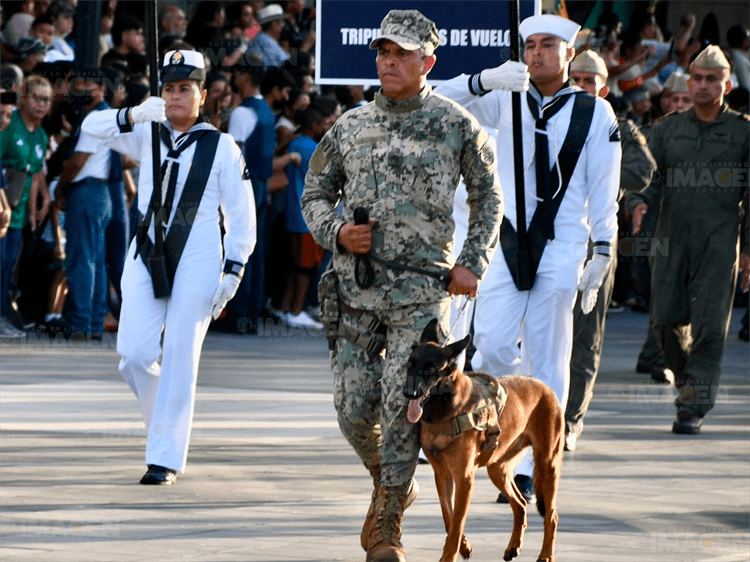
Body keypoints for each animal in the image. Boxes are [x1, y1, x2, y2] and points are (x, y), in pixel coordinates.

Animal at [406, 320, 564, 560]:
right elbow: (448, 516)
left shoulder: (464, 479)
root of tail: (545, 387)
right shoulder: (442, 475)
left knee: (551, 516)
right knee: (520, 504)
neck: (447, 409)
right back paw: (513, 546)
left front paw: (450, 554)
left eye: (430, 371)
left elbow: (456, 523)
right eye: (410, 365)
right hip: (497, 469)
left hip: (548, 466)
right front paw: (464, 546)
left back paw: (546, 555)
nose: (408, 393)